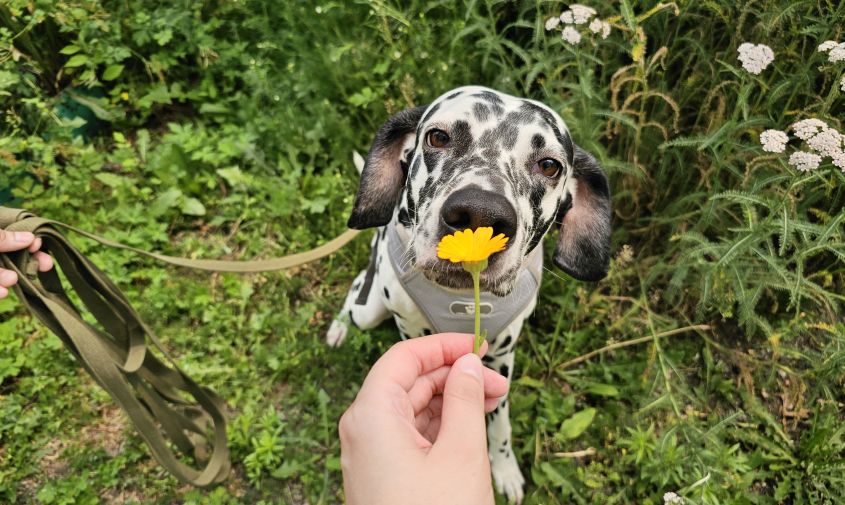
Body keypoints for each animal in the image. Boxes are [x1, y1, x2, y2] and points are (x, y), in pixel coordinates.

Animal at [326, 85, 608, 500]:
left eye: (549, 165)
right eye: (438, 137)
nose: (479, 213)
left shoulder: (502, 356)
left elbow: (500, 423)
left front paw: (504, 468)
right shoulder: (413, 333)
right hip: (369, 307)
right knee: (355, 294)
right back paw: (339, 327)